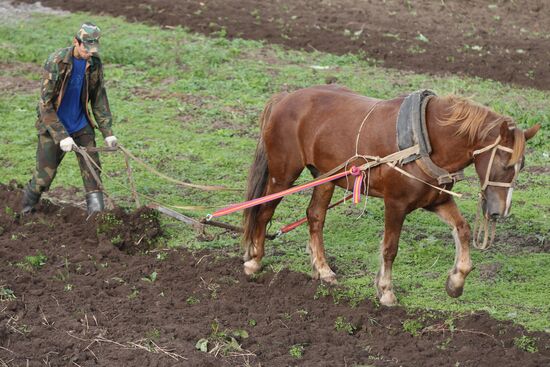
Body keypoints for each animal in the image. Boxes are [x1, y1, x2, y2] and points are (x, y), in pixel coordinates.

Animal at [244, 85, 540, 306]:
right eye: (504, 163)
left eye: (522, 165)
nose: (500, 211)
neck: (424, 140)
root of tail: (284, 98)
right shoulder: (395, 203)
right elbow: (390, 248)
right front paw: (385, 290)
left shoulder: (437, 200)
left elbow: (463, 229)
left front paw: (456, 282)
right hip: (282, 175)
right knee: (264, 211)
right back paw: (254, 261)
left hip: (325, 177)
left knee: (315, 216)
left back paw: (324, 270)